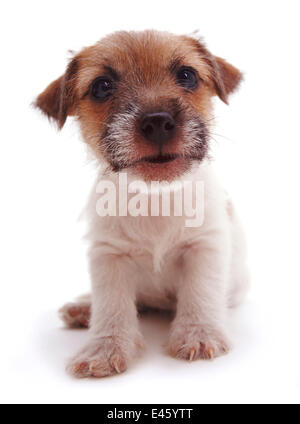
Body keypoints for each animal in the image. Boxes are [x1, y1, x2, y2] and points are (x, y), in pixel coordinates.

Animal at [36, 31, 250, 380]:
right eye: (102, 86)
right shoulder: (108, 255)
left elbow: (200, 292)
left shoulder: (204, 247)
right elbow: (111, 306)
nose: (158, 122)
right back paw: (84, 307)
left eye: (187, 75)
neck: (155, 198)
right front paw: (105, 348)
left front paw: (199, 334)